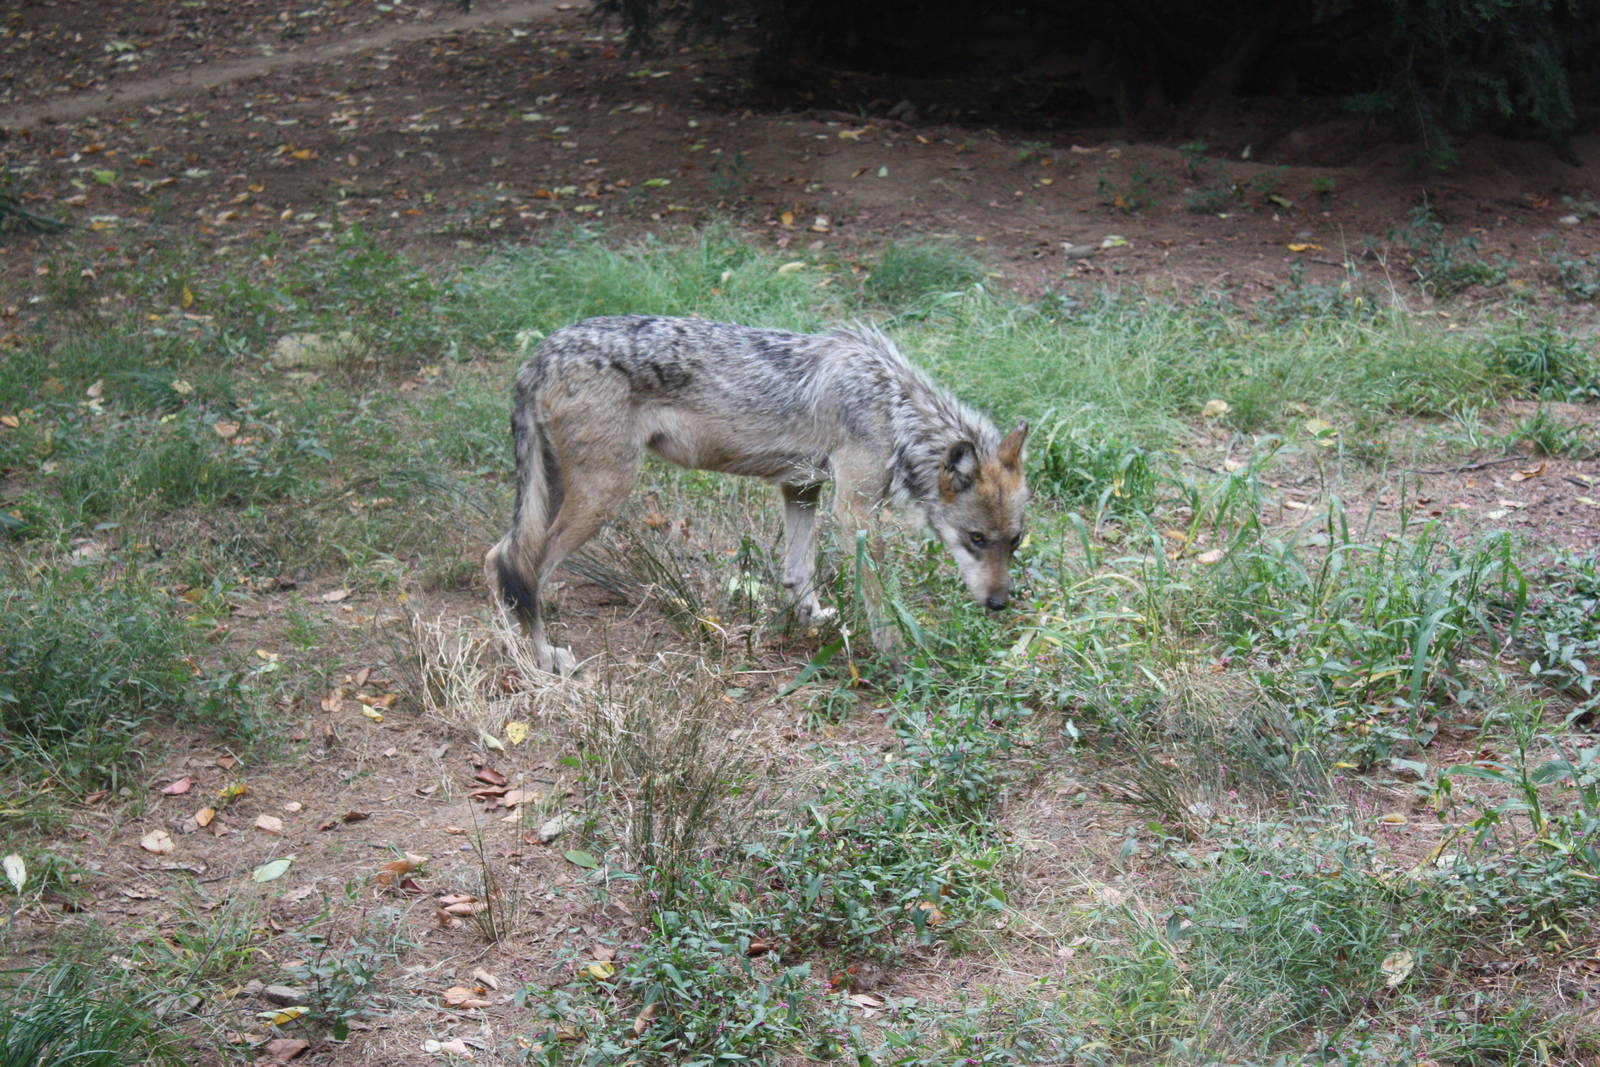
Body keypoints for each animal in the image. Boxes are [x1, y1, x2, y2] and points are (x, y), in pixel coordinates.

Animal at [485, 315, 1029, 674]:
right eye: (977, 540)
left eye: (1015, 542)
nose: (999, 604)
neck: (893, 407)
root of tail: (541, 353)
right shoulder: (853, 512)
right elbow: (880, 597)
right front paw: (900, 655)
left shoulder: (802, 487)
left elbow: (797, 571)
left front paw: (813, 619)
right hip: (605, 493)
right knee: (522, 568)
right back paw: (542, 659)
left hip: (558, 491)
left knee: (500, 557)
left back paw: (512, 647)